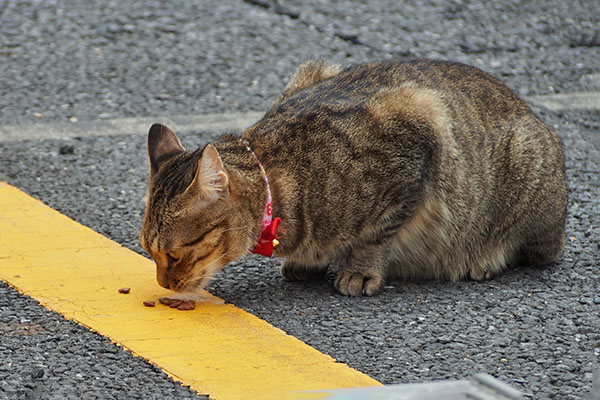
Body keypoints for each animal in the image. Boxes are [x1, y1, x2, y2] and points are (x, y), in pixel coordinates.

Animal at [141, 60, 568, 296]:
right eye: (149, 252)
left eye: (173, 255)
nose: (162, 284)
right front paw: (308, 261)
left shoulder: (418, 125)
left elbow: (376, 234)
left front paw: (360, 270)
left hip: (525, 168)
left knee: (540, 249)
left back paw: (485, 259)